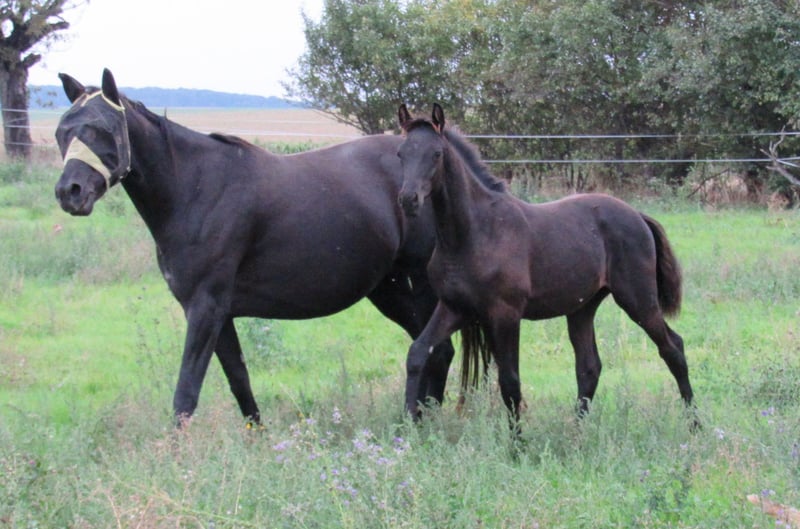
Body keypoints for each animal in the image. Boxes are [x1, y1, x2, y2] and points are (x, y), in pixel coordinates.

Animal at [52, 68, 458, 426]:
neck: (195, 188)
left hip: (421, 284)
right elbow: (239, 382)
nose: (70, 192)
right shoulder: (217, 313)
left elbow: (186, 393)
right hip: (387, 288)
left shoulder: (205, 308)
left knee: (435, 350)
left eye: (103, 130)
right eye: (62, 132)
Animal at [396, 103, 695, 428]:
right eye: (401, 153)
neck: (474, 233)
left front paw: (517, 441)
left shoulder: (505, 314)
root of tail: (638, 215)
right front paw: (408, 425)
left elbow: (510, 380)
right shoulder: (454, 308)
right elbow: (417, 354)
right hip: (582, 308)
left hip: (638, 300)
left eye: (436, 154)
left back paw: (695, 424)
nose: (408, 199)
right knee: (589, 367)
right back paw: (577, 431)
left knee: (673, 348)